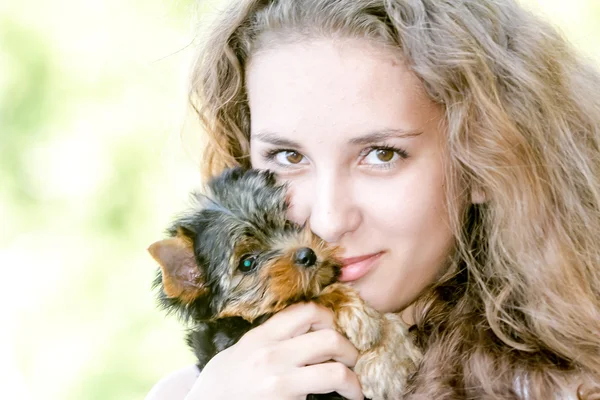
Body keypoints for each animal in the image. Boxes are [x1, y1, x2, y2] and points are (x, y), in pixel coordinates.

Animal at [149, 167, 422, 398]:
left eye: (287, 224)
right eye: (247, 263)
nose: (307, 254)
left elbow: (391, 320)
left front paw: (384, 363)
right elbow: (316, 295)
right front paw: (361, 317)